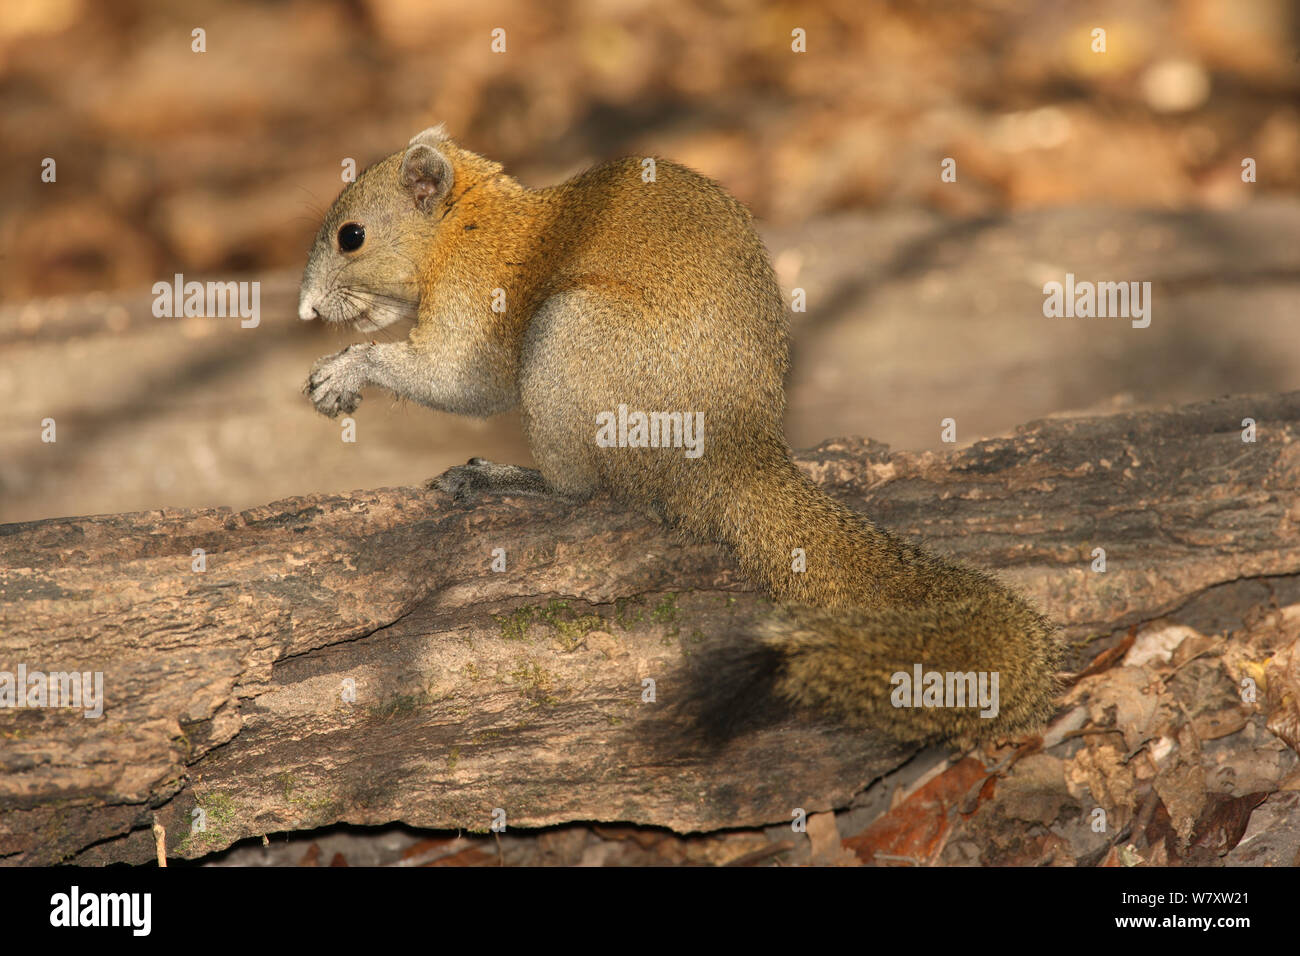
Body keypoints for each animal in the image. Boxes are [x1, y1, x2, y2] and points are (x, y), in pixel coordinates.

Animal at [299, 126, 1061, 745]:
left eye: (351, 236)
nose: (304, 308)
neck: (470, 225)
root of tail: (735, 449)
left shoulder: (478, 300)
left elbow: (463, 380)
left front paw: (349, 368)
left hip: (572, 334)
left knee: (579, 488)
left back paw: (513, 481)